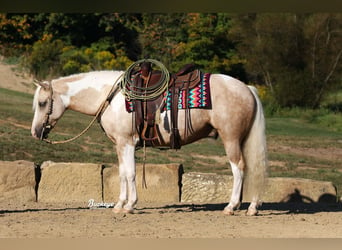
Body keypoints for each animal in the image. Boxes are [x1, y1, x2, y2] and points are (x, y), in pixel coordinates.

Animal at [31, 70, 268, 215]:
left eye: (42, 103)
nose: (35, 132)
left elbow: (130, 174)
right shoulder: (120, 145)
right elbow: (122, 173)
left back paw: (231, 206)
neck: (112, 97)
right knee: (253, 169)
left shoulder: (126, 143)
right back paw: (252, 207)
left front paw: (129, 206)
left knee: (239, 169)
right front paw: (119, 204)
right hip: (242, 140)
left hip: (231, 139)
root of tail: (247, 88)